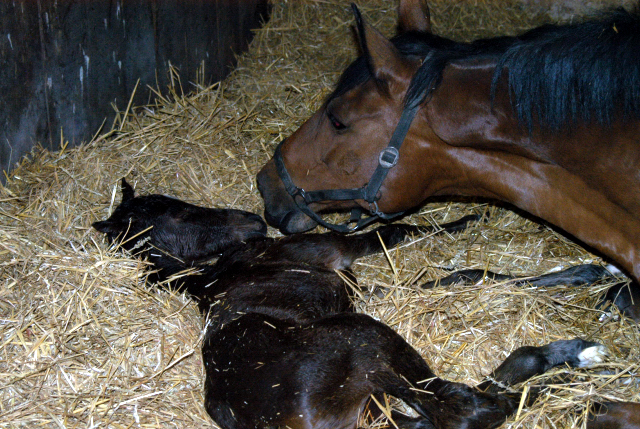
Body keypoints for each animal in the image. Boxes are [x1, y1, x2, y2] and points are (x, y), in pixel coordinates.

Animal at [92, 179, 608, 426]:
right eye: (176, 214)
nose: (252, 221)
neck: (214, 274)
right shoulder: (338, 258)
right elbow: (395, 232)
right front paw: (467, 219)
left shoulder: (356, 290)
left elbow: (461, 278)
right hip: (369, 339)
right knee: (468, 408)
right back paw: (577, 371)